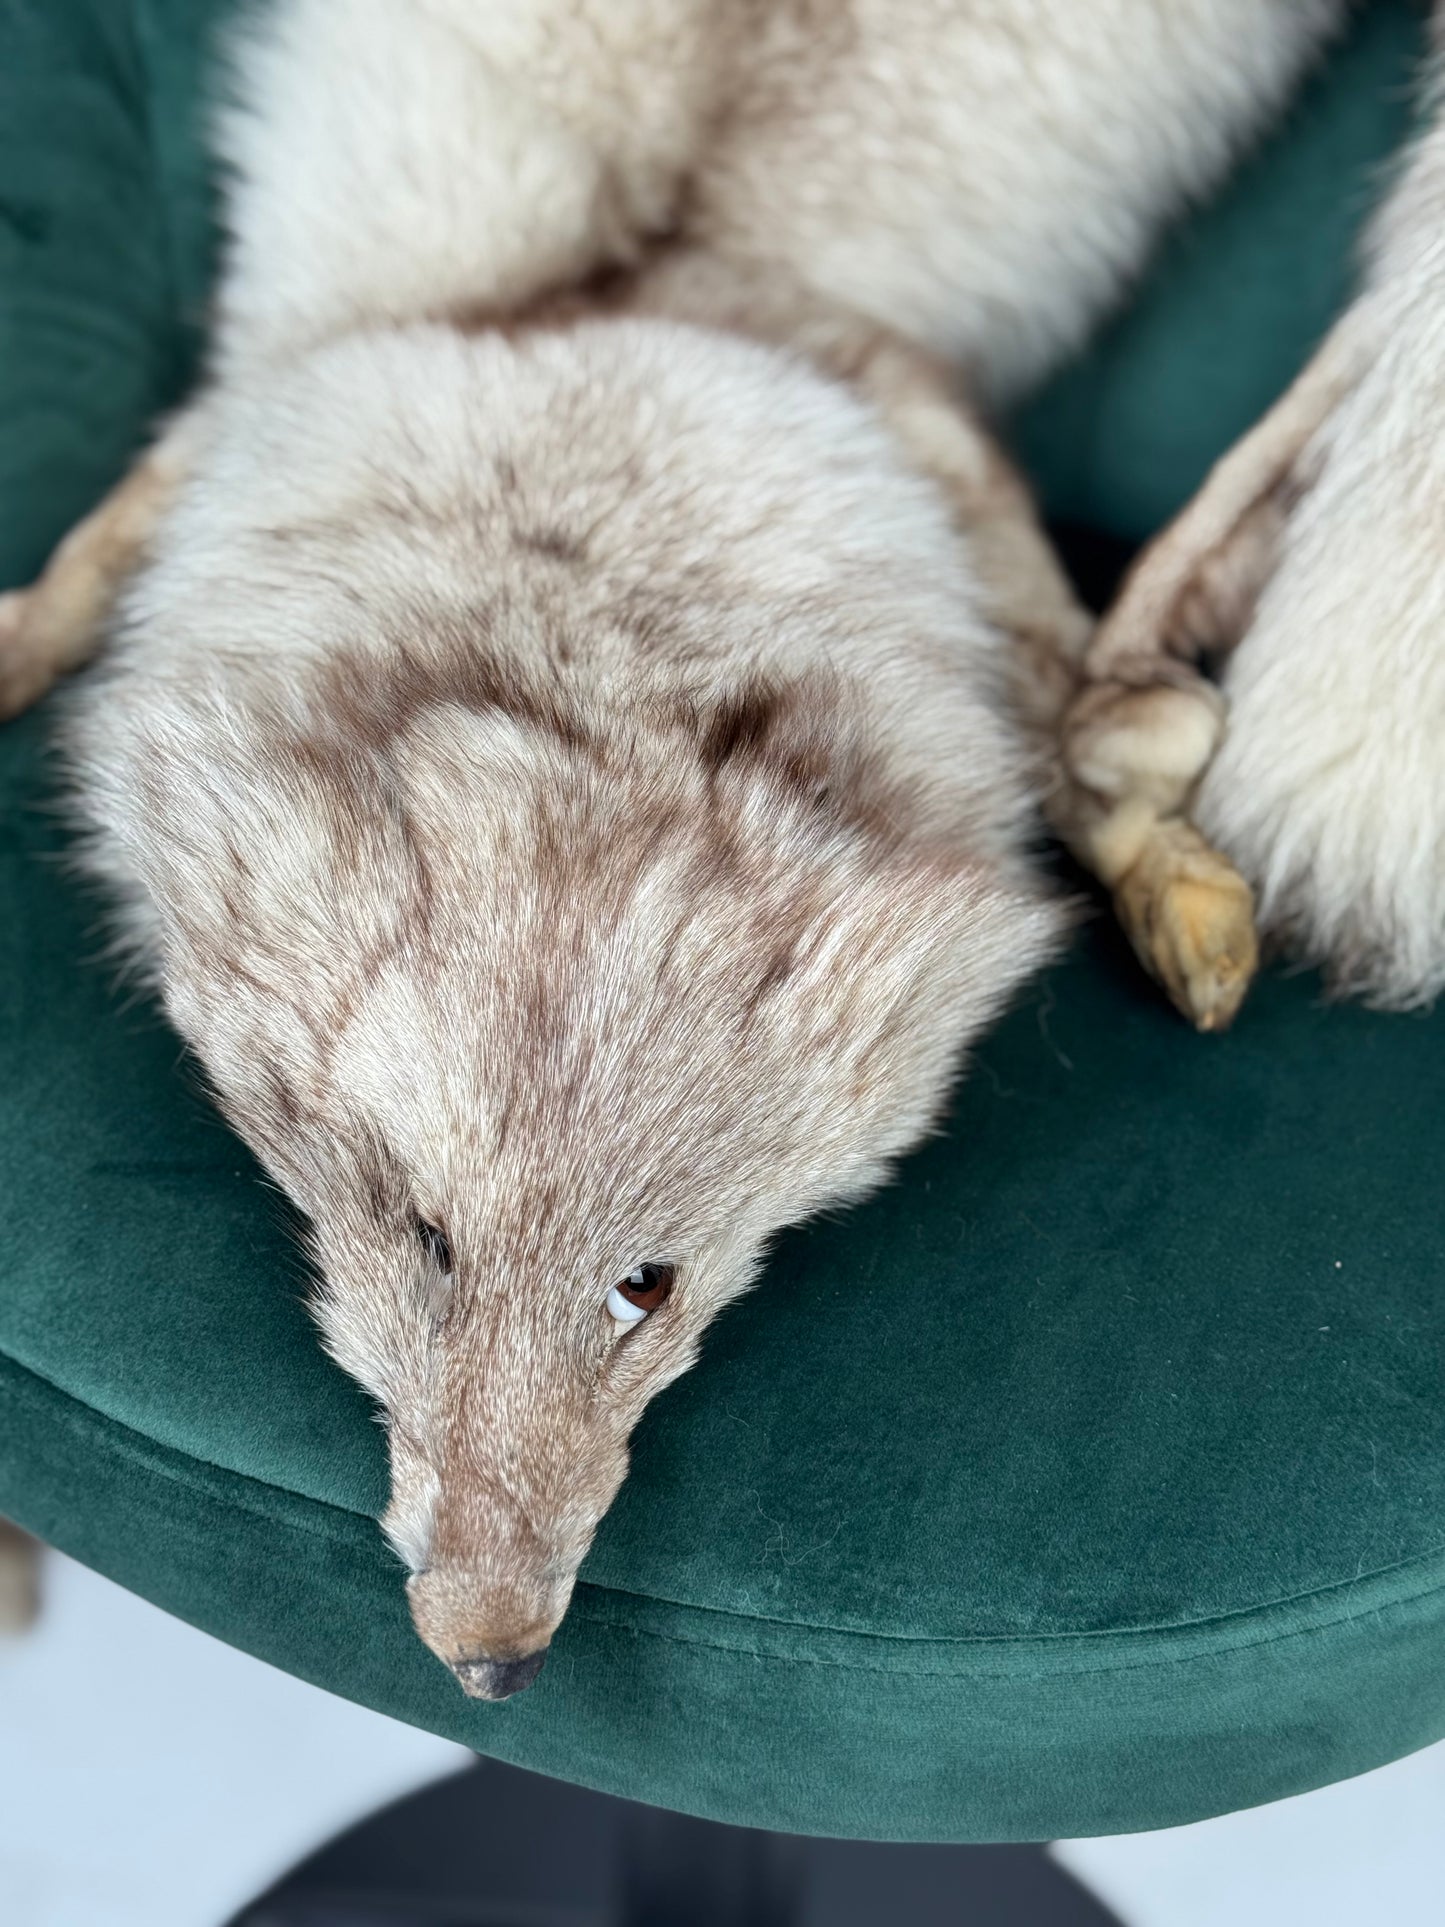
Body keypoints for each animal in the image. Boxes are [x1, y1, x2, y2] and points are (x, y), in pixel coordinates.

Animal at [6, 0, 1431, 1697]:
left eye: (649, 1283)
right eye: (425, 1239)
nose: (492, 1665)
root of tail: (625, 271)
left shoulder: (938, 472)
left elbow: (1087, 720)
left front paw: (1171, 867)